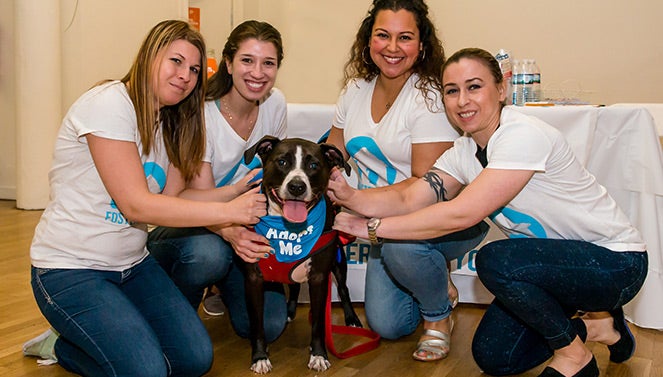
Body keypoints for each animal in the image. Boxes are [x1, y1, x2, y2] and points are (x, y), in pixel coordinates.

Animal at [241, 136, 360, 374]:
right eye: (282, 162)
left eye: (314, 165)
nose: (297, 186)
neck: (289, 231)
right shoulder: (253, 280)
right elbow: (257, 323)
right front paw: (259, 357)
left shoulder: (319, 278)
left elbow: (318, 324)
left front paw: (319, 354)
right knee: (294, 286)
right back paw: (289, 311)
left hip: (338, 262)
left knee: (343, 289)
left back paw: (351, 318)